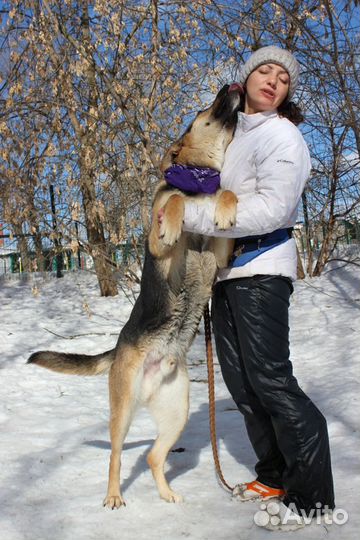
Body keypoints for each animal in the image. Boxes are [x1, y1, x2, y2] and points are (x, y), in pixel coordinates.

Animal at [28, 83, 242, 506]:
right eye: (203, 110)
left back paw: (167, 494)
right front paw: (175, 221)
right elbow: (172, 203)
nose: (230, 85)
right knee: (115, 456)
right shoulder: (158, 245)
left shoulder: (222, 252)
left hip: (176, 411)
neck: (197, 182)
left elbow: (225, 191)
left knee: (154, 456)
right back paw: (113, 497)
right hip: (124, 407)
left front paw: (226, 206)